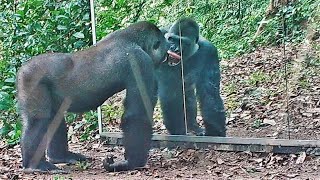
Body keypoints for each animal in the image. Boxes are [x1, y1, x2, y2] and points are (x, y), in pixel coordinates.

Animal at [16, 20, 168, 172]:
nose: (168, 53)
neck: (133, 39)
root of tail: (22, 69)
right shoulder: (140, 61)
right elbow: (138, 114)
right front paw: (131, 163)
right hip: (32, 79)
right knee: (38, 121)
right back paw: (36, 165)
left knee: (54, 117)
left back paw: (60, 157)